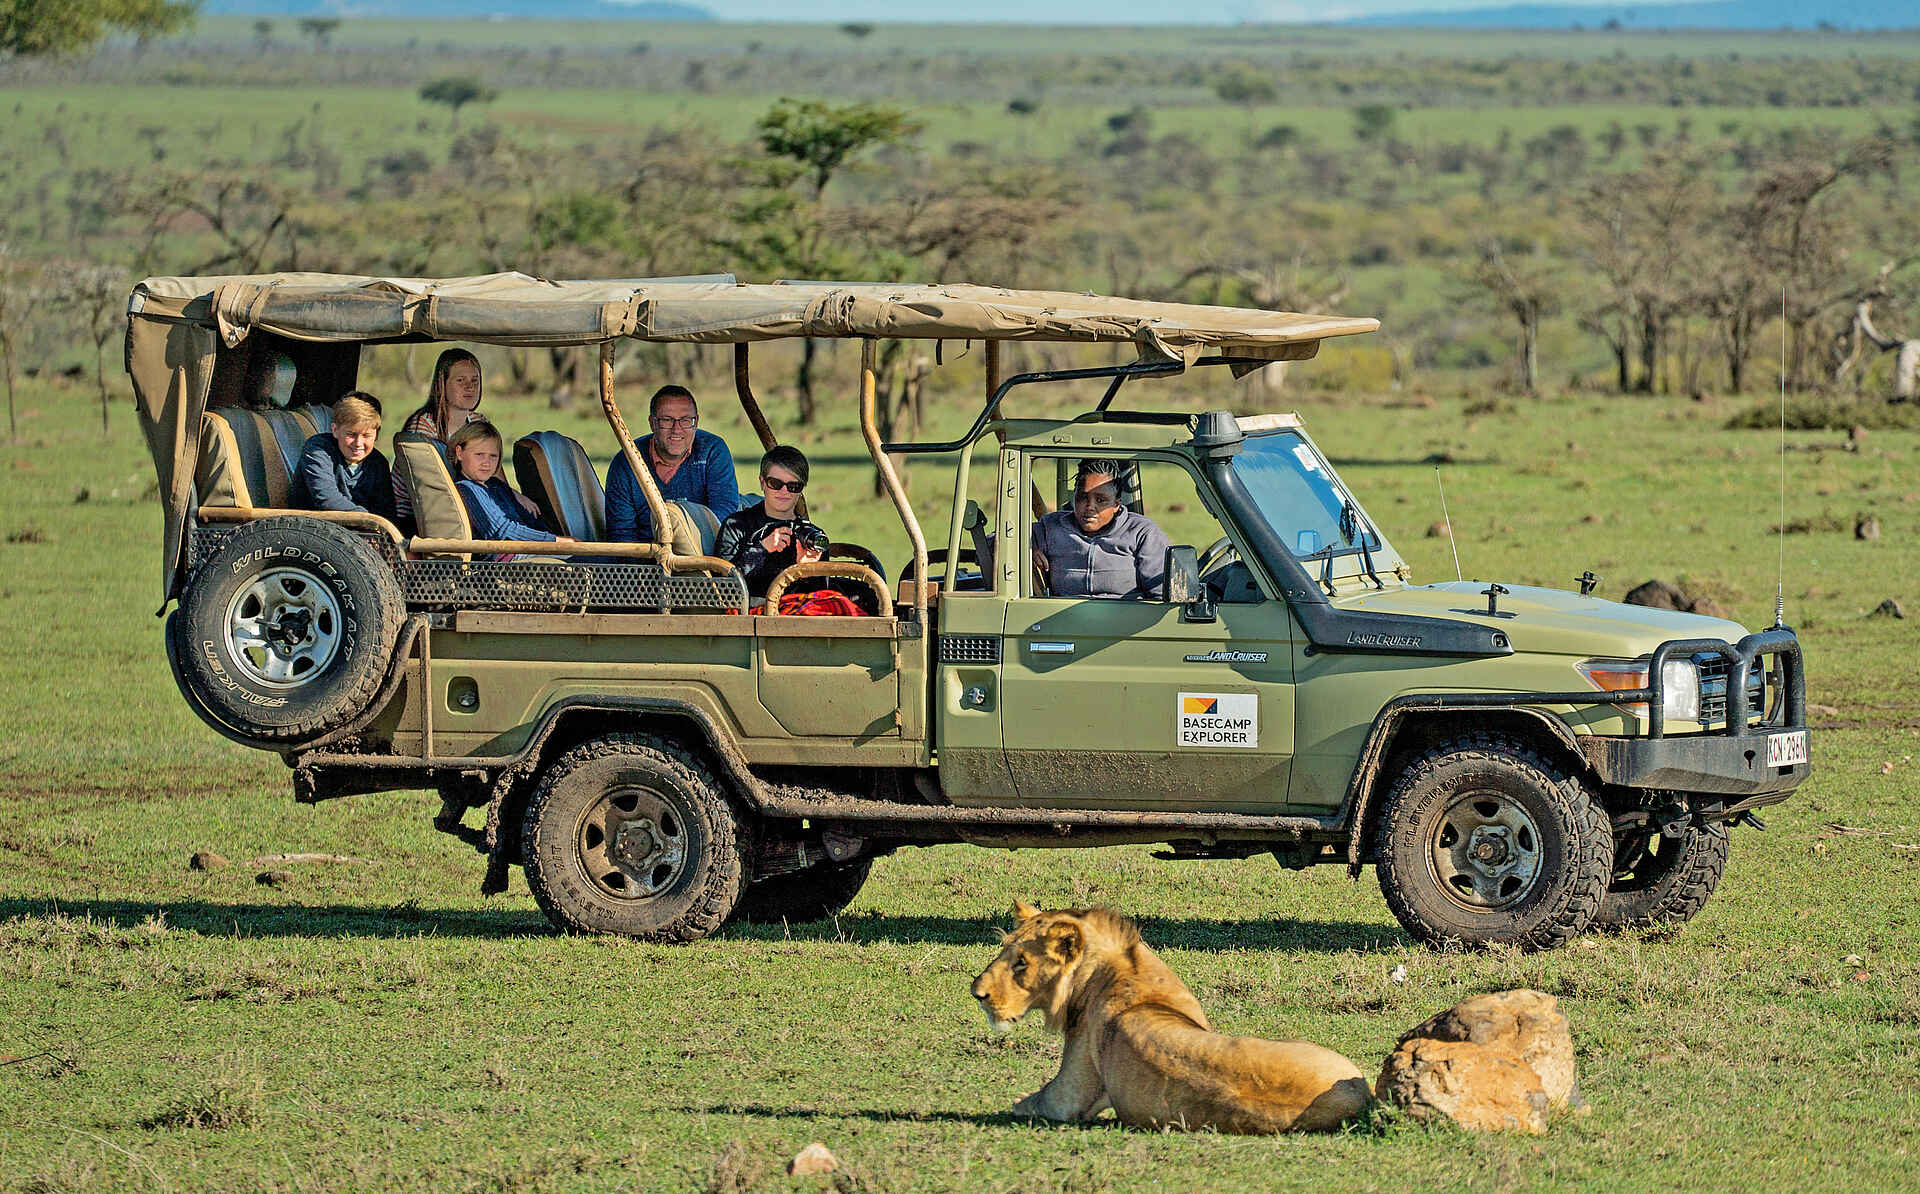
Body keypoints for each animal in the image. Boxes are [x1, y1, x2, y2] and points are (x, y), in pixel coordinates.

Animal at [970, 901, 1372, 1133]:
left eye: (1021, 963)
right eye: (1003, 950)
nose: (978, 993)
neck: (1119, 967)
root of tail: (1361, 1097)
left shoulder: (1070, 1093)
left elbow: (1033, 1102)